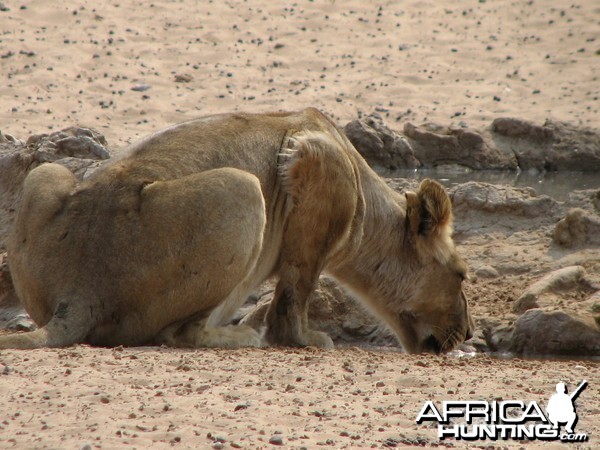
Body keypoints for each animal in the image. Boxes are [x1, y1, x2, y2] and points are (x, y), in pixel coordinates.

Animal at [0, 108, 474, 352]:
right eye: (461, 275)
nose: (468, 334)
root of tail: (77, 295)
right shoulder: (318, 166)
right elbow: (295, 294)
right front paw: (301, 338)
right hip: (242, 189)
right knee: (179, 334)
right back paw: (240, 335)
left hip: (46, 173)